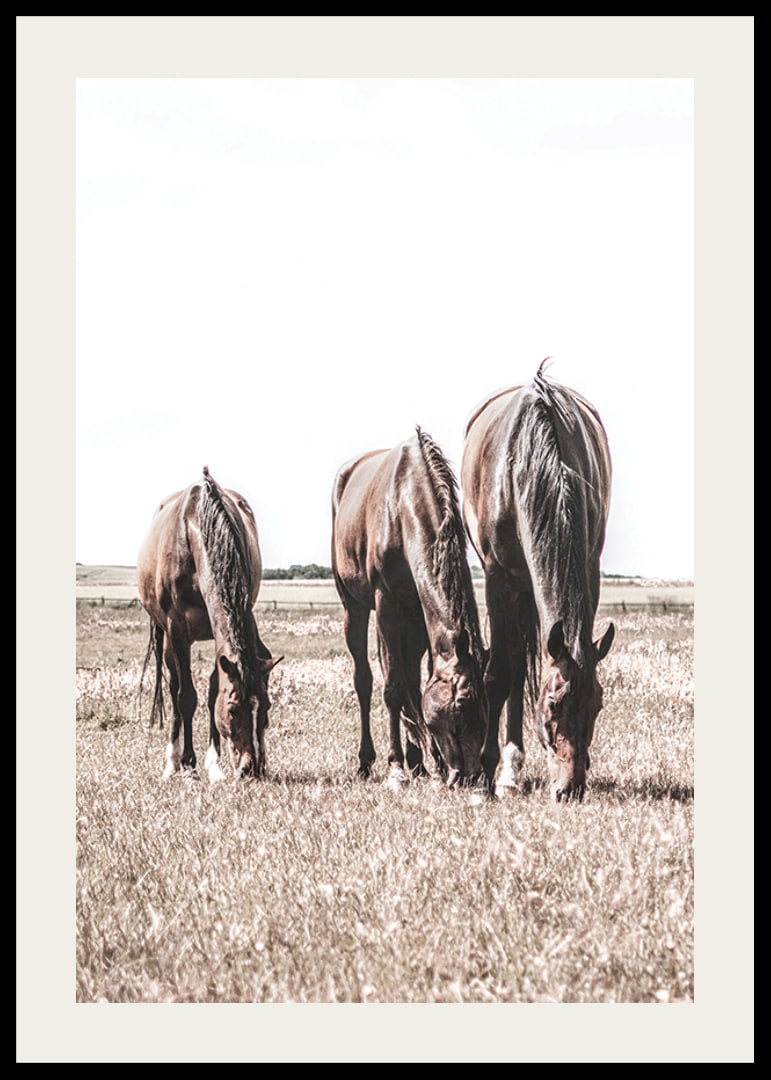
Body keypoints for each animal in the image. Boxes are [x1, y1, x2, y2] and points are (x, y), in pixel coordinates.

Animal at [137, 467, 281, 781]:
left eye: (266, 706)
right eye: (233, 709)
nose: (252, 769)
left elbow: (213, 690)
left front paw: (214, 765)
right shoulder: (177, 629)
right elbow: (186, 697)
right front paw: (189, 764)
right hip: (168, 640)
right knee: (174, 687)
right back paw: (173, 762)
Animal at [331, 427, 487, 789]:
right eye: (460, 707)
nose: (471, 778)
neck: (403, 507)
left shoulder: (418, 612)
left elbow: (416, 685)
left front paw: (428, 762)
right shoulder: (386, 603)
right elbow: (393, 688)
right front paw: (396, 766)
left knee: (409, 680)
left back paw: (418, 760)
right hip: (354, 608)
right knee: (365, 679)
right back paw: (368, 761)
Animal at [460, 361, 615, 801]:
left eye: (597, 705)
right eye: (552, 705)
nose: (570, 789)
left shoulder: (589, 569)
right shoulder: (497, 577)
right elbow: (499, 674)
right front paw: (484, 776)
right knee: (513, 662)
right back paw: (506, 772)